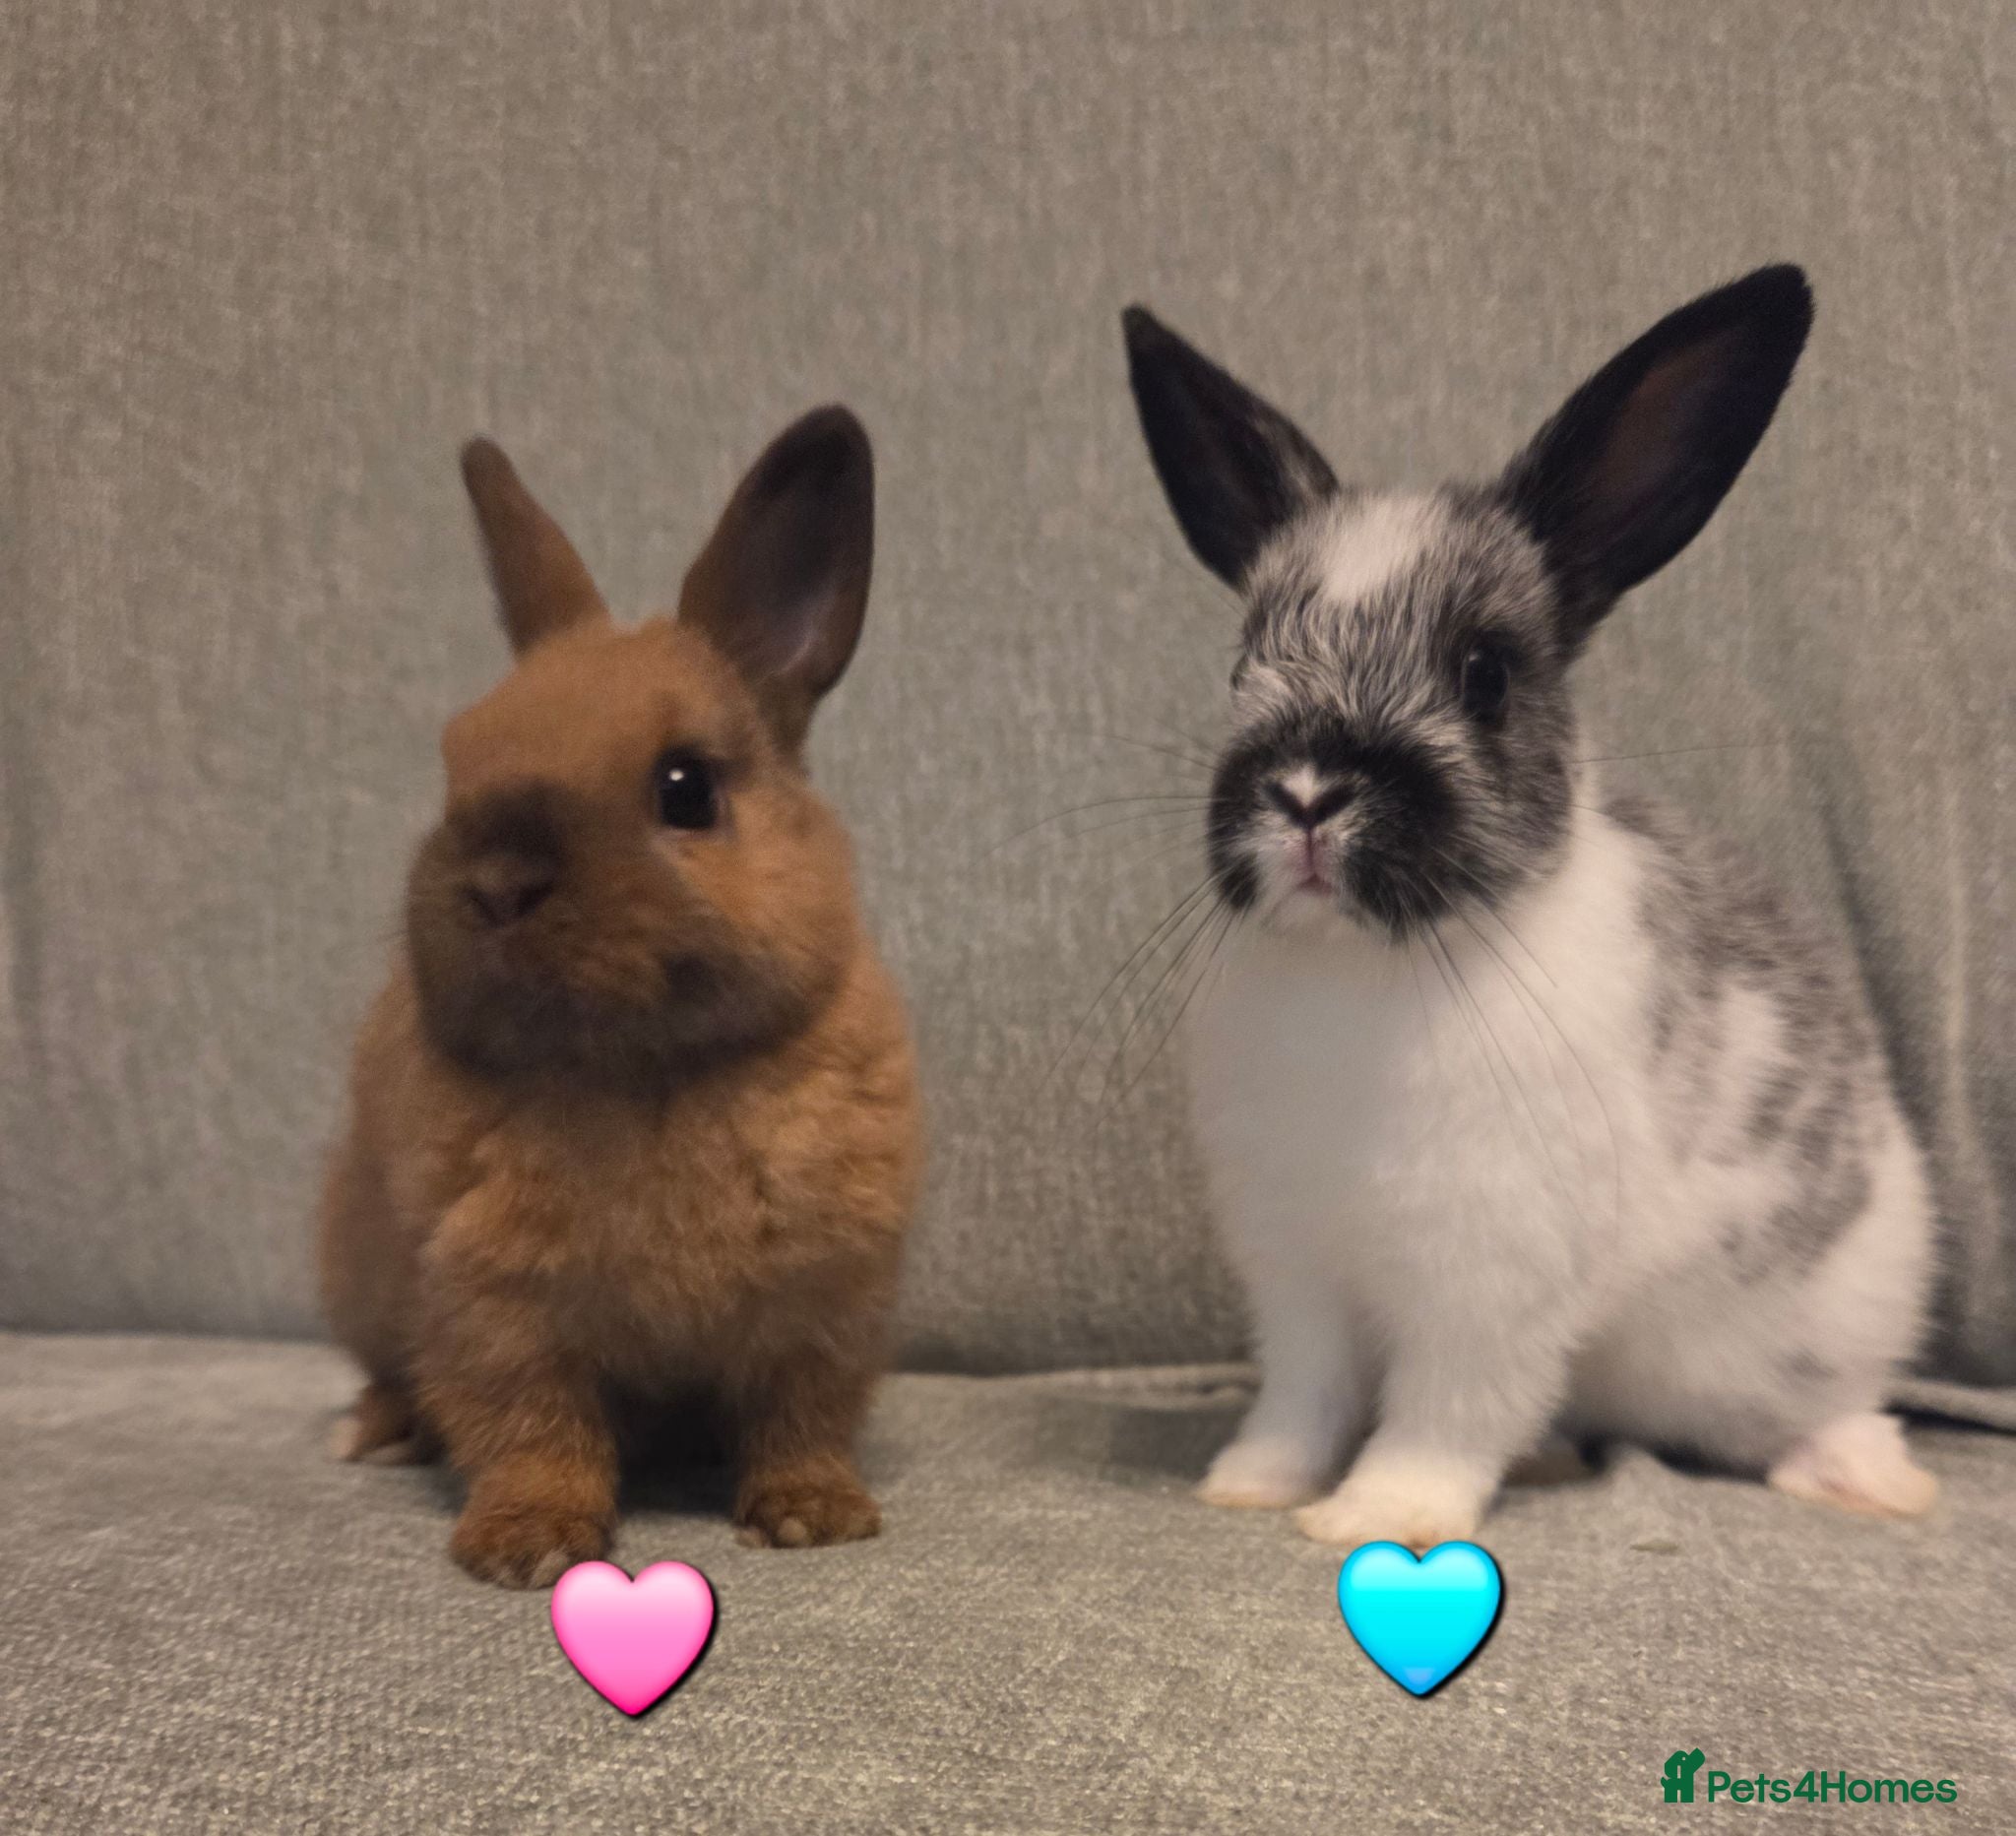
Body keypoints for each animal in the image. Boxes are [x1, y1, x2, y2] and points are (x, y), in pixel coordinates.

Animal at [317, 407, 923, 1586]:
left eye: (686, 786)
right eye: (456, 764)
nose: (497, 882)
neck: (645, 1071)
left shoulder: (824, 1301)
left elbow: (802, 1412)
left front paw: (812, 1515)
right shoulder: (490, 1306)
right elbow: (528, 1424)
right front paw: (527, 1545)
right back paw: (373, 1430)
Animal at [1120, 265, 1940, 1552]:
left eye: (1483, 673)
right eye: (1244, 656)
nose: (1304, 790)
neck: (1366, 966)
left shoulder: (1487, 1282)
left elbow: (1444, 1412)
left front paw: (1376, 1517)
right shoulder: (1296, 1271)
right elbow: (1303, 1395)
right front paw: (1252, 1483)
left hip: (1823, 1321)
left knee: (1831, 1405)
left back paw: (1865, 1479)